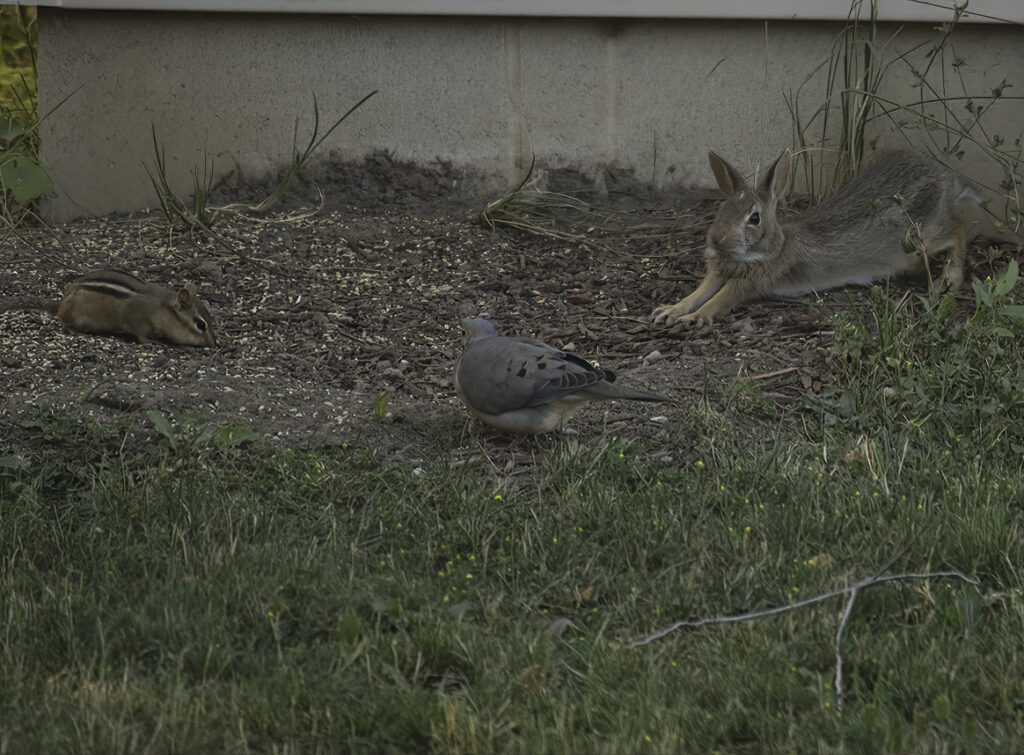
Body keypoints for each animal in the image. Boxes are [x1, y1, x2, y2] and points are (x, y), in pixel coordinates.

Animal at [650, 148, 979, 326]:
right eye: (721, 209)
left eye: (754, 218)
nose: (716, 241)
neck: (775, 246)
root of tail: (947, 178)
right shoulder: (719, 273)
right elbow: (698, 292)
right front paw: (669, 311)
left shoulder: (751, 281)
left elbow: (720, 300)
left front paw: (694, 318)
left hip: (921, 239)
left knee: (958, 230)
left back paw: (948, 280)